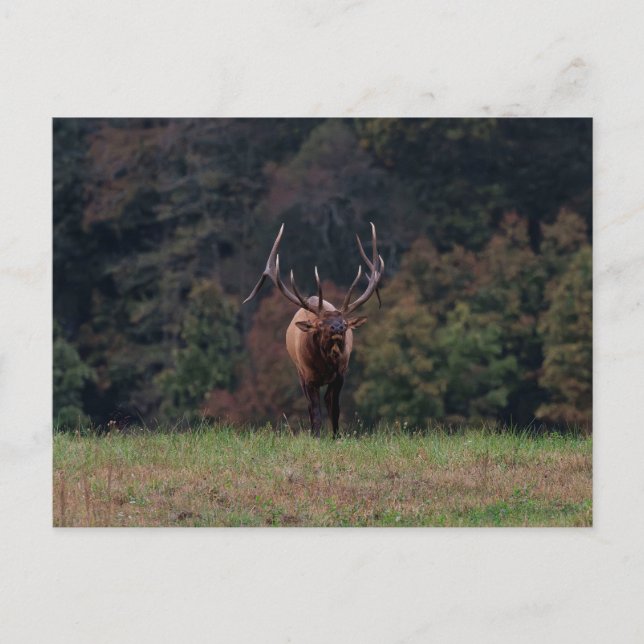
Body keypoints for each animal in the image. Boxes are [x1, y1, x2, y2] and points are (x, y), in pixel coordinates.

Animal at [243, 222, 384, 438]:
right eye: (320, 325)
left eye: (344, 322)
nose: (338, 327)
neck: (325, 364)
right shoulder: (308, 376)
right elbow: (315, 411)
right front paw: (316, 436)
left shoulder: (341, 374)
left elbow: (335, 409)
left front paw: (336, 437)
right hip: (299, 372)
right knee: (311, 406)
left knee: (328, 401)